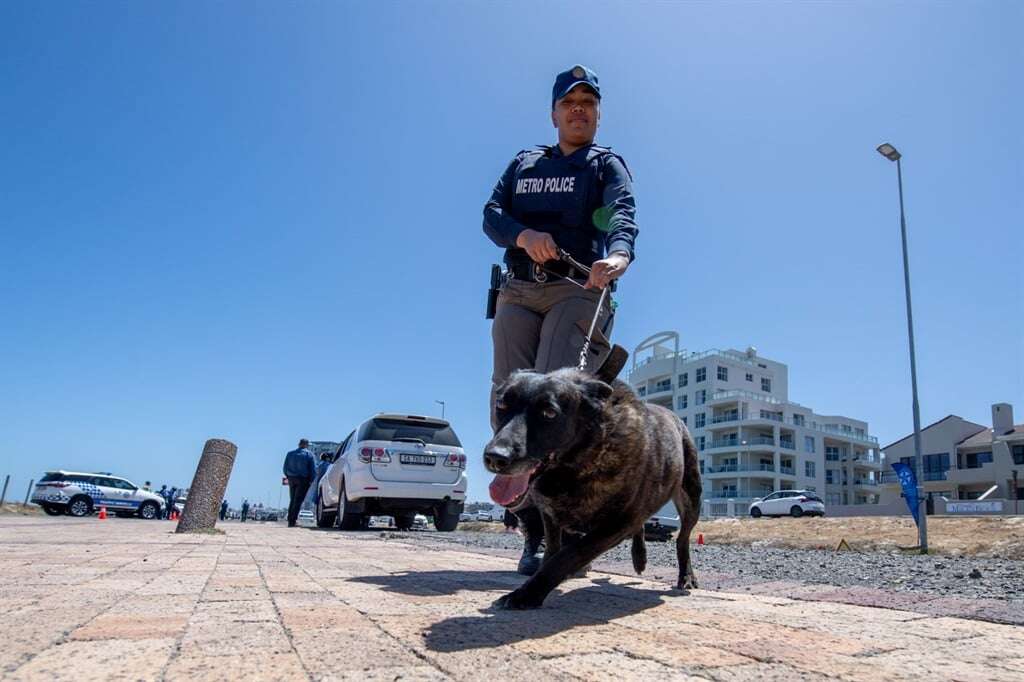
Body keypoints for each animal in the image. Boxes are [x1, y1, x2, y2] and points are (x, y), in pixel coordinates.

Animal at [483, 346, 700, 606]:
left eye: (549, 413)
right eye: (501, 406)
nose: (495, 457)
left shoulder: (614, 526)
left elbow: (568, 555)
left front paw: (528, 594)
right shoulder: (550, 516)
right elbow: (552, 551)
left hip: (691, 499)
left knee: (681, 539)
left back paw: (686, 576)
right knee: (642, 526)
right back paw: (639, 557)